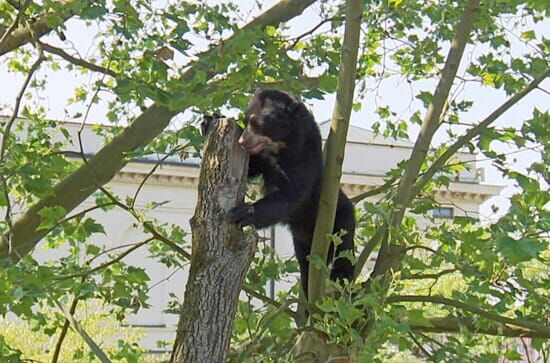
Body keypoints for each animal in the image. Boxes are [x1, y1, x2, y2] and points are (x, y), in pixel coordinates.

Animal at [205, 89, 356, 298]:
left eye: (258, 124)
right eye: (246, 120)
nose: (242, 141)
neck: (281, 147)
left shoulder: (304, 160)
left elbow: (289, 196)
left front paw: (244, 212)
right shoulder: (264, 159)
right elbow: (251, 167)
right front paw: (208, 121)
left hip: (340, 221)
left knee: (344, 253)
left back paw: (340, 281)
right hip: (301, 241)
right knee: (306, 263)